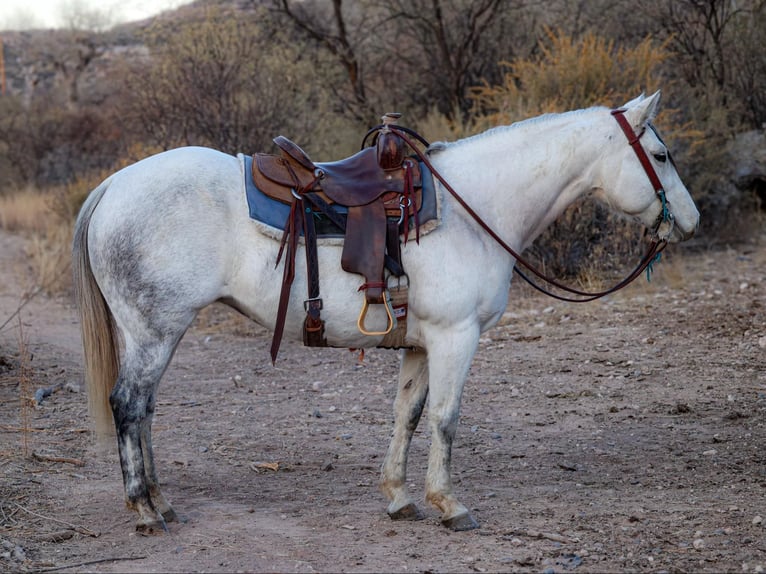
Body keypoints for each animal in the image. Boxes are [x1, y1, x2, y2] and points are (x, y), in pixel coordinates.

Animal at [72, 91, 699, 534]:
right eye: (661, 155)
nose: (690, 221)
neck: (475, 208)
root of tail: (112, 186)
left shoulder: (421, 343)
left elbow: (409, 415)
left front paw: (399, 497)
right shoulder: (455, 337)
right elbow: (446, 417)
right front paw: (450, 505)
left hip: (153, 334)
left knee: (145, 410)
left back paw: (162, 502)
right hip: (155, 332)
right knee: (128, 405)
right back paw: (144, 510)